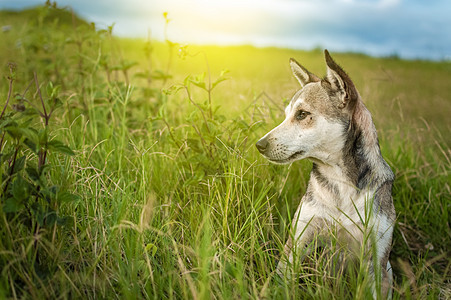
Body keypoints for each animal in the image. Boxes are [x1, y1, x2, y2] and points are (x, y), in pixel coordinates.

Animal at [256, 49, 398, 298]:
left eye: (302, 114)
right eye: (287, 114)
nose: (259, 145)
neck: (341, 181)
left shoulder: (377, 256)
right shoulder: (298, 239)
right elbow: (282, 279)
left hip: (388, 269)